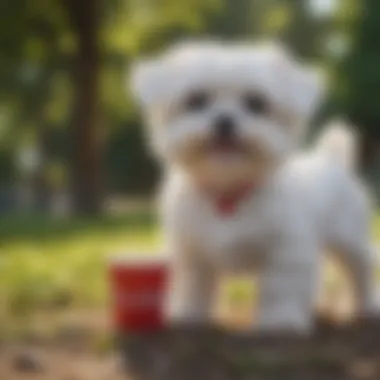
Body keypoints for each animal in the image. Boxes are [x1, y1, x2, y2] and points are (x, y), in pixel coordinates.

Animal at [132, 42, 378, 332]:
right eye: (196, 100)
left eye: (256, 103)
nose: (224, 120)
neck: (228, 190)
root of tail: (332, 159)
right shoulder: (192, 253)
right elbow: (193, 285)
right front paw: (188, 314)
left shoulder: (285, 250)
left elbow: (280, 287)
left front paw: (281, 320)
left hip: (348, 237)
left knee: (361, 266)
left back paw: (368, 305)